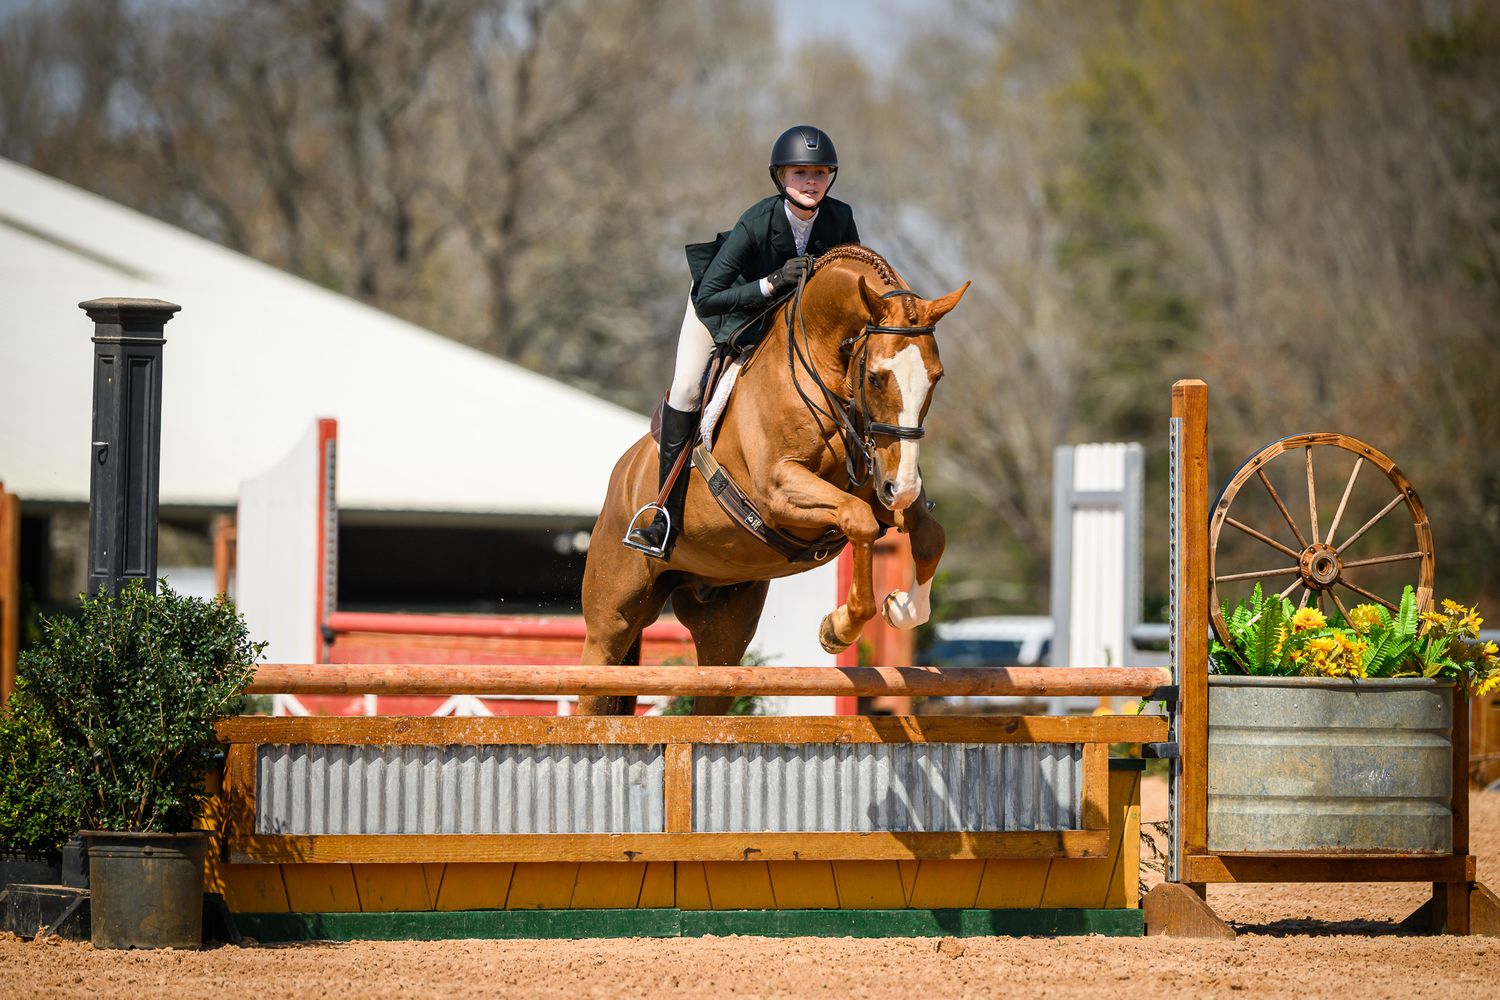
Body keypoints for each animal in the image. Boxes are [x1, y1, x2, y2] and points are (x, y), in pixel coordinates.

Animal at [578, 245, 969, 715]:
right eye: (876, 377)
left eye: (937, 377)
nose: (902, 487)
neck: (822, 365)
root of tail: (621, 475)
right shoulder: (778, 491)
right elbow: (859, 520)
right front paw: (837, 628)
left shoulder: (879, 484)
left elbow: (929, 535)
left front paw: (901, 608)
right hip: (612, 617)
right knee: (595, 680)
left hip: (724, 627)